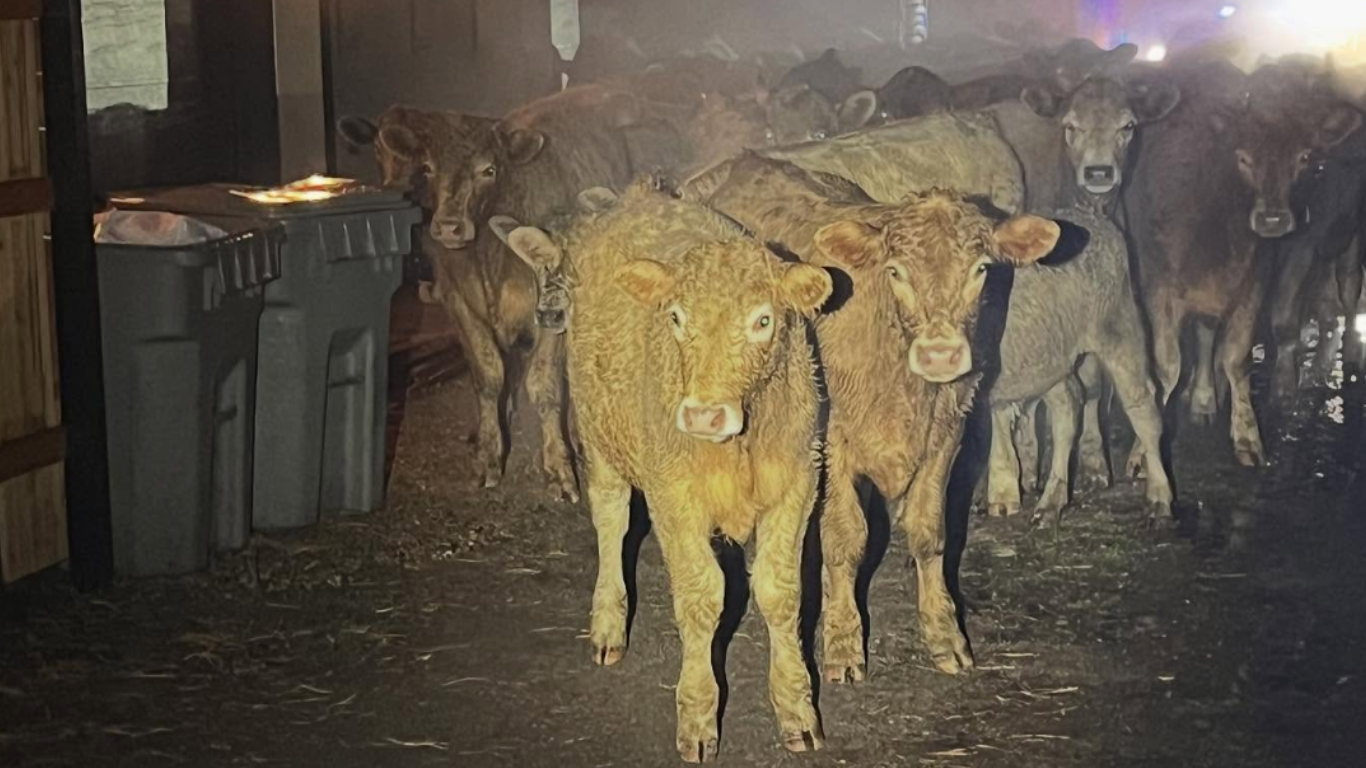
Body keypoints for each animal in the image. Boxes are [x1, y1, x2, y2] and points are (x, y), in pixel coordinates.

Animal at [497, 181, 832, 763]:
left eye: (763, 320)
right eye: (675, 318)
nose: (702, 415)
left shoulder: (797, 484)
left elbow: (780, 592)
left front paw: (797, 709)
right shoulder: (673, 497)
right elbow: (701, 597)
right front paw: (698, 716)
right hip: (599, 435)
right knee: (611, 520)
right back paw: (608, 624)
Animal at [684, 155, 1062, 682]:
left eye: (981, 268)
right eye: (895, 270)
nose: (940, 353)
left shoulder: (946, 437)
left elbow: (929, 533)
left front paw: (944, 633)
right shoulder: (833, 444)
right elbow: (846, 538)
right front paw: (843, 642)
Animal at [1125, 60, 1362, 466]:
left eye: (1302, 157)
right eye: (1244, 158)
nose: (1273, 219)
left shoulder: (1255, 281)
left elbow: (1236, 358)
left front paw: (1248, 433)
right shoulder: (1158, 286)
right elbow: (1167, 365)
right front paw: (1143, 446)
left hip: (1350, 242)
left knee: (1347, 294)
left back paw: (1346, 355)